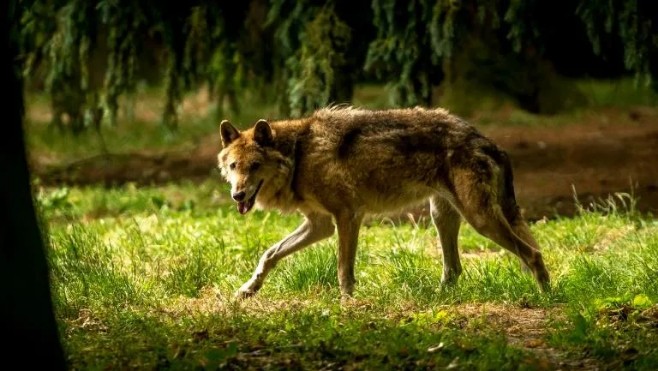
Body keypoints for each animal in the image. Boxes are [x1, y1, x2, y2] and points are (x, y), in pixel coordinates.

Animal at [217, 106, 548, 298]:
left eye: (255, 166)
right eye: (234, 166)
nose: (237, 195)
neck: (299, 155)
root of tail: (487, 141)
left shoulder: (347, 216)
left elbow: (343, 270)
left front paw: (346, 304)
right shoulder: (320, 225)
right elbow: (269, 254)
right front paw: (248, 289)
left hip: (479, 220)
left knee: (533, 254)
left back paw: (545, 297)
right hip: (442, 216)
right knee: (455, 269)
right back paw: (436, 298)